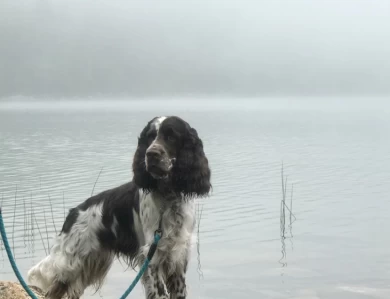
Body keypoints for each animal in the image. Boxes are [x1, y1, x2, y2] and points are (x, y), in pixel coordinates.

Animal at [27, 116, 212, 299]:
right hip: (70, 263)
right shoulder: (153, 257)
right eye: (150, 137)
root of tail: (73, 213)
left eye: (171, 136)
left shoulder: (178, 256)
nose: (151, 154)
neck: (169, 199)